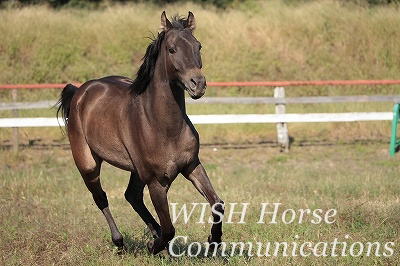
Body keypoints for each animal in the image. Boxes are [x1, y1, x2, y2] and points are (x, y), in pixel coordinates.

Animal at [56, 11, 225, 255]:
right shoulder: (156, 182)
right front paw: (154, 245)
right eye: (171, 49)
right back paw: (121, 242)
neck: (163, 126)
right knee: (101, 197)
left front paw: (213, 240)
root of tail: (80, 91)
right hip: (88, 164)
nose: (198, 84)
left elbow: (217, 203)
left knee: (132, 196)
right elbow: (169, 228)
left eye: (198, 46)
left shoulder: (191, 165)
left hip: (136, 169)